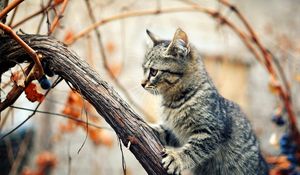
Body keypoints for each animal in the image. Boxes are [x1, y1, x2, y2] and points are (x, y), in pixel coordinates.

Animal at [141, 28, 270, 174]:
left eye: (153, 72)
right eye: (143, 69)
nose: (142, 84)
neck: (173, 101)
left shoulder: (210, 131)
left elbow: (193, 150)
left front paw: (177, 158)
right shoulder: (176, 133)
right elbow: (165, 131)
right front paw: (151, 126)